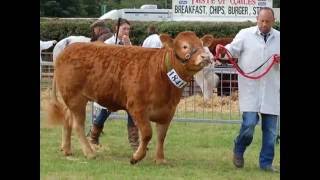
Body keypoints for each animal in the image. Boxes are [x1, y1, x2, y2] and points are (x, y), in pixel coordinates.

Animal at [45, 31, 214, 165]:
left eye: (201, 44)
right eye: (185, 46)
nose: (205, 56)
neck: (162, 74)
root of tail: (67, 49)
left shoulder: (168, 112)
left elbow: (161, 136)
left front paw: (160, 159)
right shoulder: (137, 107)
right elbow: (147, 133)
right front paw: (136, 157)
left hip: (72, 99)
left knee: (67, 119)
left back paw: (67, 149)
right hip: (75, 98)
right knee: (77, 125)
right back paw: (90, 153)